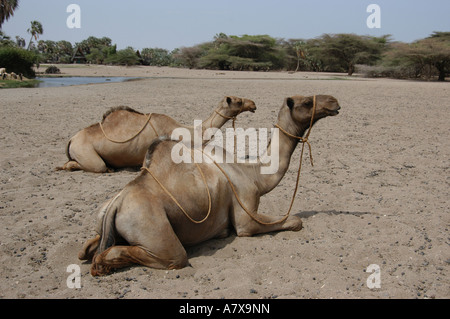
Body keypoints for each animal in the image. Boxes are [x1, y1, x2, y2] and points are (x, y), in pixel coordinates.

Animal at [80, 94, 342, 276]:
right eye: (307, 102)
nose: (334, 101)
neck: (254, 174)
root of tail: (116, 205)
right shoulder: (246, 217)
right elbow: (295, 221)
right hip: (153, 230)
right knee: (169, 256)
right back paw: (102, 266)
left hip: (104, 219)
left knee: (89, 246)